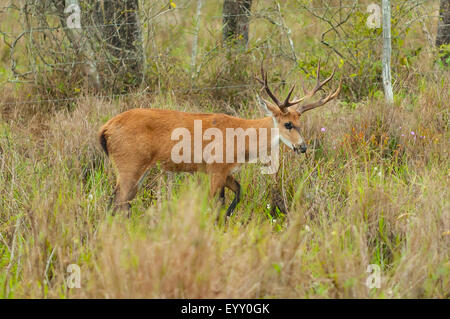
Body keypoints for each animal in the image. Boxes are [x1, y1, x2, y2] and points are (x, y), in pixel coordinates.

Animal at [98, 62, 342, 215]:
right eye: (287, 124)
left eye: (301, 123)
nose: (303, 147)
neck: (242, 138)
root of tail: (105, 128)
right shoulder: (215, 167)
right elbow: (212, 202)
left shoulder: (225, 171)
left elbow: (235, 194)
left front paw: (225, 218)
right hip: (129, 164)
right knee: (117, 202)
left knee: (122, 202)